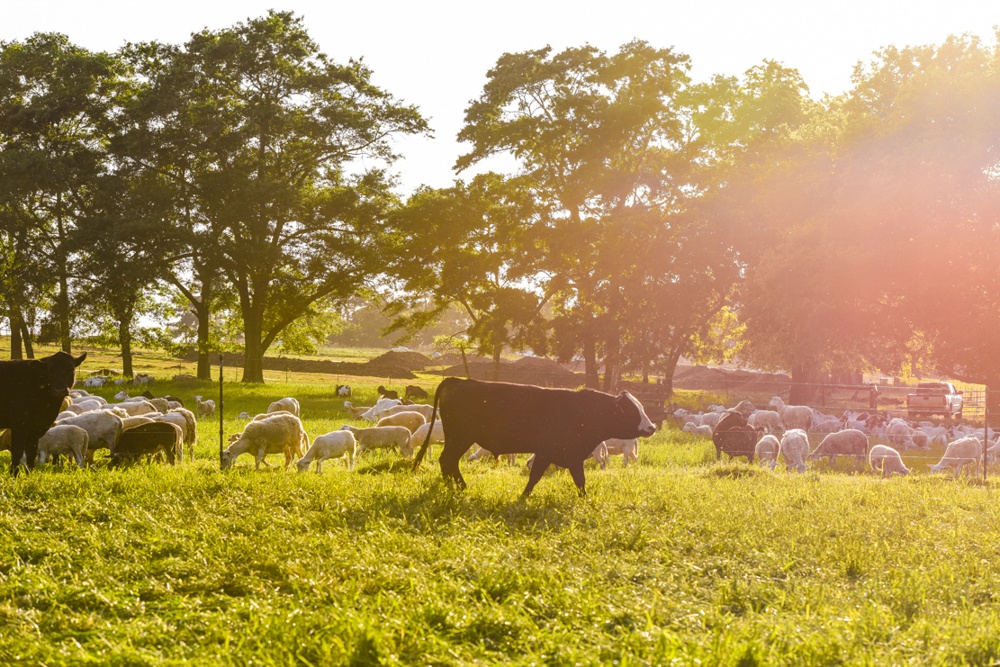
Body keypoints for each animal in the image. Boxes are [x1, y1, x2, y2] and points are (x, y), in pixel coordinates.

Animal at [410, 378, 660, 498]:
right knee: (448, 461)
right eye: (632, 411)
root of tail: (458, 381)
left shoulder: (573, 456)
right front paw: (524, 496)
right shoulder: (547, 452)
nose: (652, 427)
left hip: (458, 439)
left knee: (448, 462)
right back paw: (458, 487)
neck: (583, 411)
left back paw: (453, 486)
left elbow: (580, 481)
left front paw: (585, 499)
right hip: (460, 438)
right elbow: (535, 476)